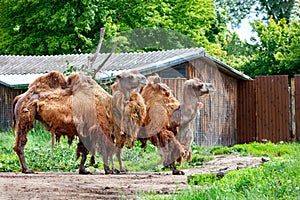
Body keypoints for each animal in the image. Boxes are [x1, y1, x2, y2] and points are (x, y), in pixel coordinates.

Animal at [11, 70, 146, 173]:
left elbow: (84, 150)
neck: (108, 105)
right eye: (130, 76)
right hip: (25, 116)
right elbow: (103, 148)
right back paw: (27, 169)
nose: (144, 79)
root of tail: (19, 97)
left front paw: (83, 170)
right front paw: (109, 170)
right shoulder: (99, 127)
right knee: (21, 143)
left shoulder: (86, 129)